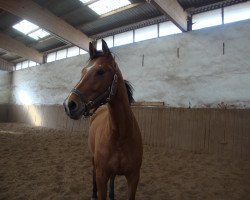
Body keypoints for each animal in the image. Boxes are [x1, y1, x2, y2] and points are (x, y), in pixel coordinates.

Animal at [63, 39, 143, 200]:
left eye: (100, 71)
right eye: (83, 71)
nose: (69, 104)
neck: (121, 135)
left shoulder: (134, 177)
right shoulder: (101, 175)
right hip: (93, 160)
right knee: (93, 172)